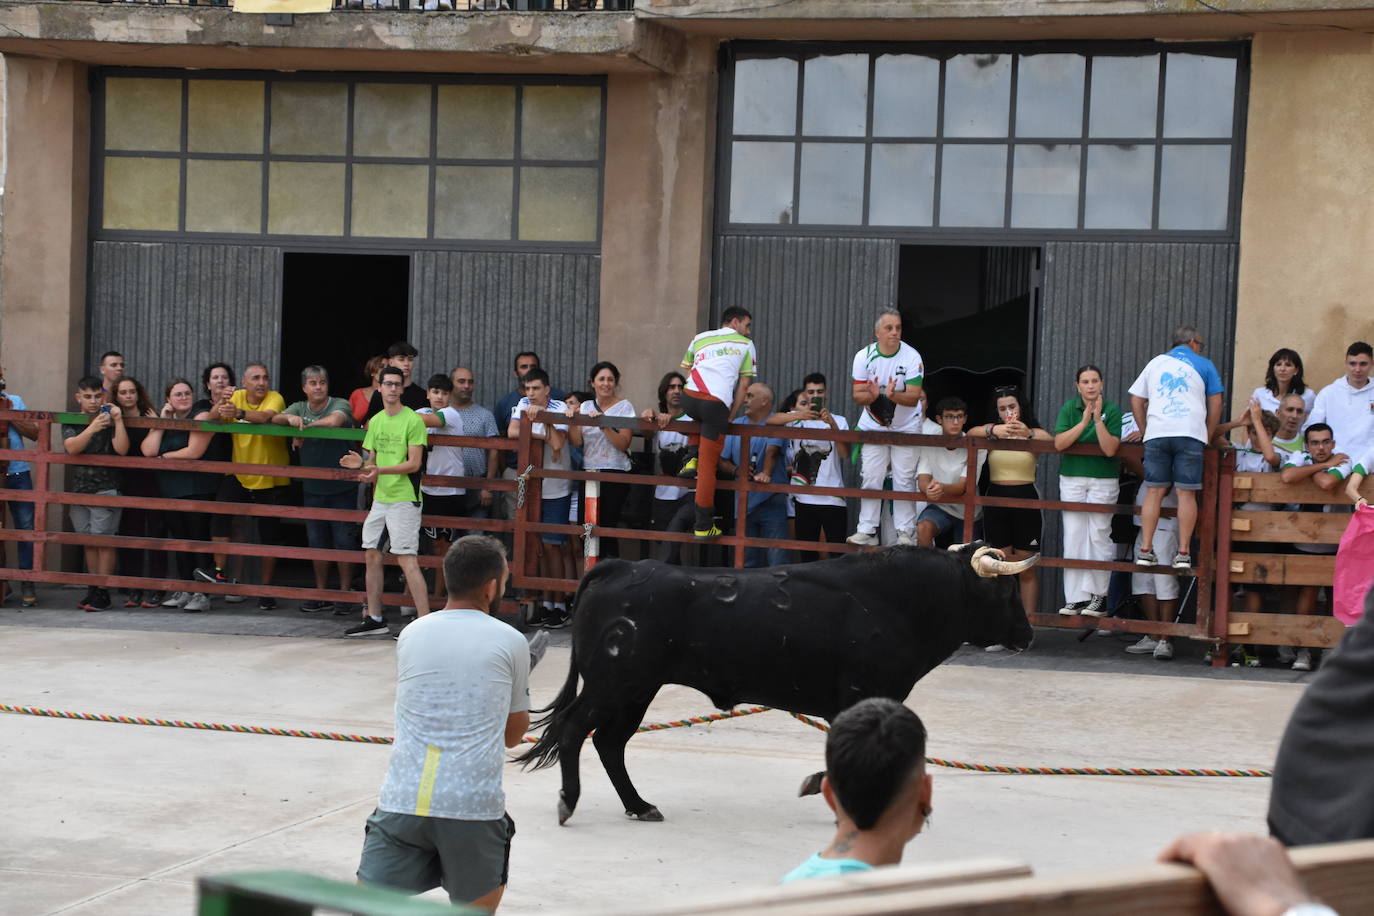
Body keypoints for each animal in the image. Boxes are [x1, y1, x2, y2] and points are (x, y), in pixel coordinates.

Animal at [519, 543, 1033, 823]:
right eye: (1006, 590)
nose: (1027, 635)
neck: (896, 600)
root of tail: (620, 566)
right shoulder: (862, 694)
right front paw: (819, 786)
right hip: (612, 683)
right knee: (575, 730)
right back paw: (570, 802)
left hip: (636, 689)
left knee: (609, 741)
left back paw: (640, 805)